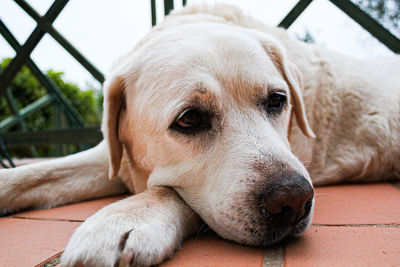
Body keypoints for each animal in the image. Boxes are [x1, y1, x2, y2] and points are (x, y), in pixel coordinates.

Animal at [0, 3, 398, 266]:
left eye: (277, 100)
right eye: (189, 119)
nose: (294, 200)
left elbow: (168, 191)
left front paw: (126, 220)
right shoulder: (114, 158)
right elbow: (32, 174)